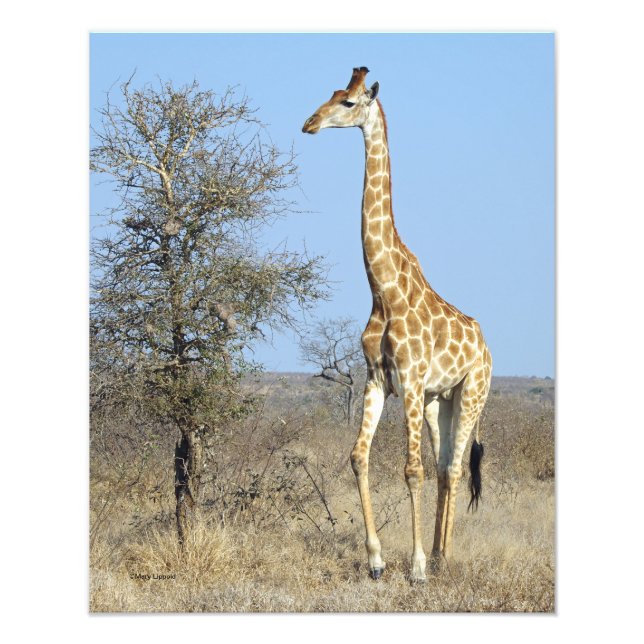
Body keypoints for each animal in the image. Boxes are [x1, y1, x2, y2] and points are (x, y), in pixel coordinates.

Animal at [302, 67, 492, 583]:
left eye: (348, 103)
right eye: (331, 93)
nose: (309, 124)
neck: (382, 290)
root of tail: (486, 346)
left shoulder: (408, 378)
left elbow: (411, 471)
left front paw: (417, 568)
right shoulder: (377, 379)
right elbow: (358, 457)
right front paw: (377, 560)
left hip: (472, 394)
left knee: (451, 467)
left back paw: (441, 557)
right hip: (436, 401)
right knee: (445, 463)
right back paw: (440, 551)